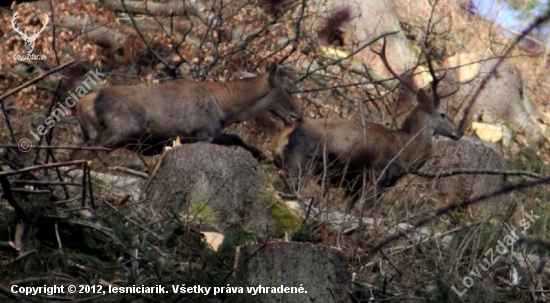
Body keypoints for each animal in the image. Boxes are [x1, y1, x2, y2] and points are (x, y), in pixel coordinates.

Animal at [272, 89, 466, 209]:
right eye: (443, 114)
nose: (459, 132)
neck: (404, 149)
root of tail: (280, 137)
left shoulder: (354, 184)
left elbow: (347, 209)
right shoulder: (379, 177)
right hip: (297, 164)